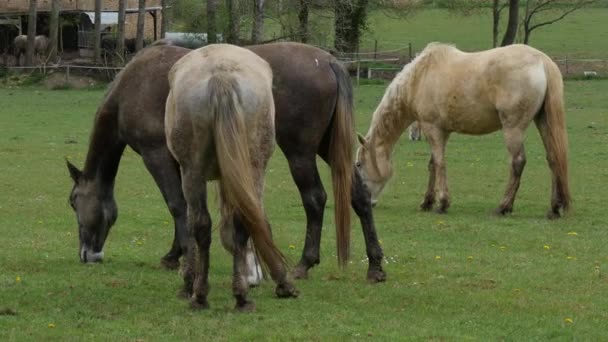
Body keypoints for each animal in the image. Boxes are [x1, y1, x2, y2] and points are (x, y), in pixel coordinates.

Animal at [66, 42, 388, 284]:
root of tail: (329, 62)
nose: (86, 254)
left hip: (300, 152)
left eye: (73, 201)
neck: (133, 85)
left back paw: (304, 264)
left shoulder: (155, 155)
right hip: (329, 150)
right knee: (359, 196)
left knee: (315, 199)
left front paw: (178, 258)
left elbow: (177, 206)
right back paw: (375, 266)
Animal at [165, 44, 298, 312]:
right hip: (253, 167)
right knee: (241, 221)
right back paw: (240, 295)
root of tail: (222, 74)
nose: (255, 277)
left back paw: (202, 295)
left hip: (193, 171)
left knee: (202, 225)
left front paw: (188, 280)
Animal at [356, 43, 568, 219]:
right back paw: (554, 208)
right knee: (553, 159)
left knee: (518, 162)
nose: (367, 202)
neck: (420, 77)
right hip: (543, 123)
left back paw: (503, 207)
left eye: (358, 164)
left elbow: (439, 164)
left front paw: (442, 204)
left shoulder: (432, 128)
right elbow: (433, 165)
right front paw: (427, 202)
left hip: (513, 129)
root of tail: (542, 61)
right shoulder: (443, 132)